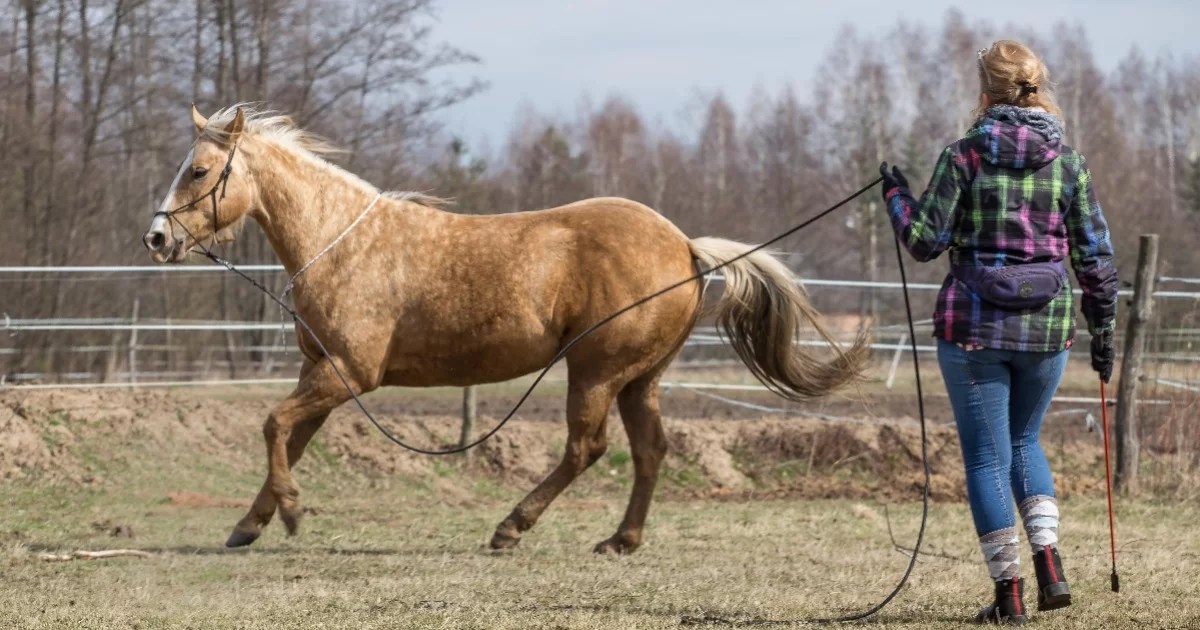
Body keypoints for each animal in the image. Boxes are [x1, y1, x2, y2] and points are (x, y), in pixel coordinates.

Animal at [142, 105, 869, 554]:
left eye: (199, 171)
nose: (156, 238)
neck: (341, 242)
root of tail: (685, 245)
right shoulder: (318, 372)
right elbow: (288, 440)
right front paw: (251, 524)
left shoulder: (348, 374)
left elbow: (273, 427)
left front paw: (288, 514)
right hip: (641, 379)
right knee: (650, 452)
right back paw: (620, 540)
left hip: (594, 372)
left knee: (586, 449)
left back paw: (512, 526)